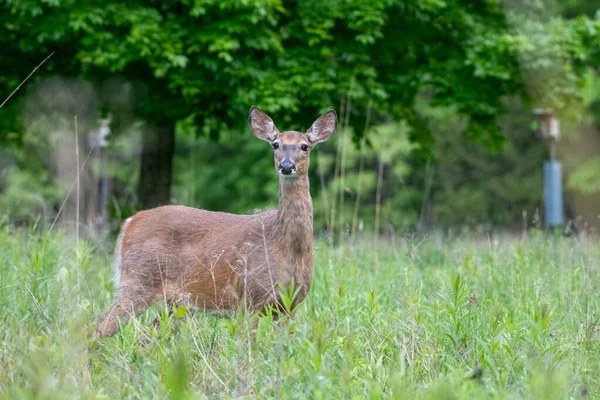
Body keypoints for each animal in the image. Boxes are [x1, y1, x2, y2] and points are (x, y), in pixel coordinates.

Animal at [94, 105, 338, 338]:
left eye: (305, 146)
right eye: (275, 145)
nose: (286, 166)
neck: (287, 246)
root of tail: (129, 221)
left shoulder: (290, 305)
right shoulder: (250, 297)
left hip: (175, 302)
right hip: (138, 280)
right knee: (98, 329)